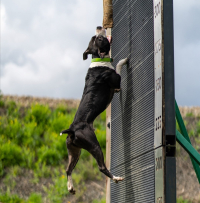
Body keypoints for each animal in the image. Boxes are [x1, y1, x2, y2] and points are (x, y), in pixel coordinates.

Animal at [60, 26, 127, 193]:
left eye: (95, 37)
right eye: (100, 39)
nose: (99, 27)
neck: (99, 60)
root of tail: (72, 129)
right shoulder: (116, 80)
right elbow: (118, 66)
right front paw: (124, 60)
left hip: (74, 151)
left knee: (68, 169)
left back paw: (71, 187)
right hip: (94, 145)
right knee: (101, 167)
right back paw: (116, 178)